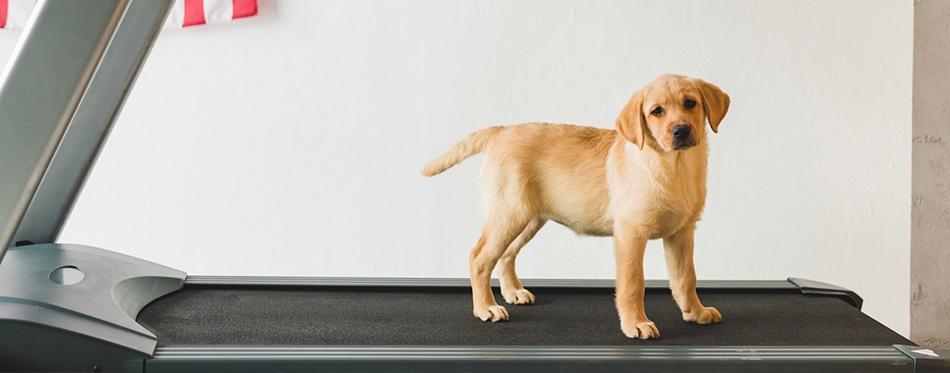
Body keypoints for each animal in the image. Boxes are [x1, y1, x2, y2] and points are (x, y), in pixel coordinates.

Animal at [424, 74, 728, 338]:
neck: (674, 167)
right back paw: (486, 307)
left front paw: (695, 312)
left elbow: (686, 278)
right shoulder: (631, 233)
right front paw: (636, 324)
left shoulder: (682, 232)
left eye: (690, 103)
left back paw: (513, 293)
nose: (681, 131)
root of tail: (502, 130)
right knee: (479, 257)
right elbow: (633, 283)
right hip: (509, 212)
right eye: (656, 111)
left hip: (527, 218)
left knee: (505, 255)